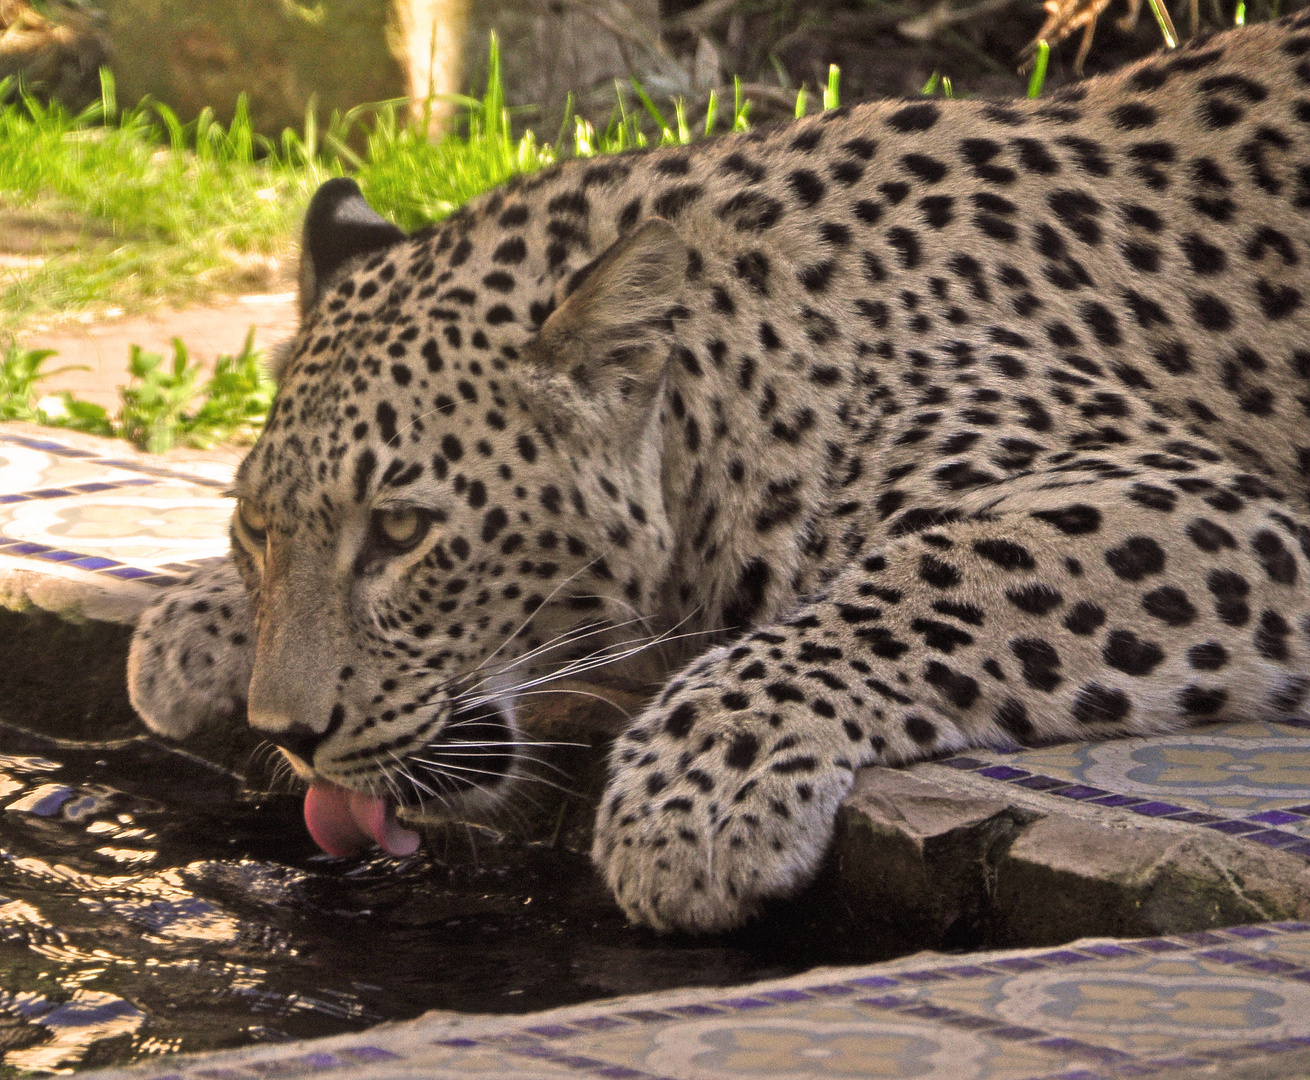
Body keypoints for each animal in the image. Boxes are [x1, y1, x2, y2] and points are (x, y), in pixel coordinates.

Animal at [125, 12, 1310, 933]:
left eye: (404, 534)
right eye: (254, 531)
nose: (287, 738)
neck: (748, 378)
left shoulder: (1183, 497)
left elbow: (923, 582)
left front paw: (693, 797)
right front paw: (188, 623)